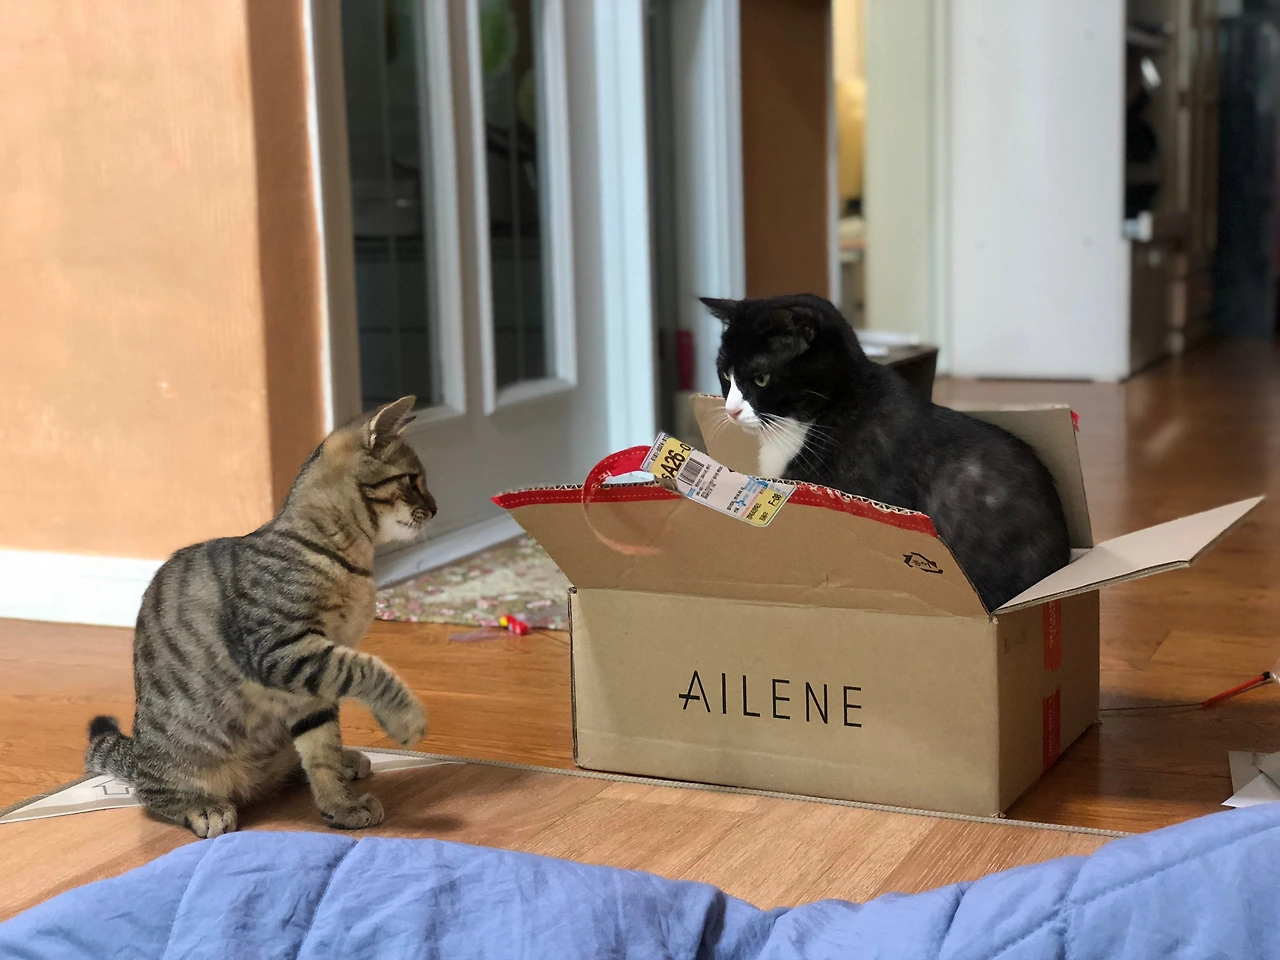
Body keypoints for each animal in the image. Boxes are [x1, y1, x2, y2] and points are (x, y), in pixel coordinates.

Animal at [85, 396, 436, 838]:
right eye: (413, 480)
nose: (436, 509)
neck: (346, 557)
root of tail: (137, 751)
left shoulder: (309, 685)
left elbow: (321, 750)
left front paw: (340, 804)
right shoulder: (284, 651)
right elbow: (370, 669)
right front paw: (405, 719)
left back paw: (345, 761)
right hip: (182, 758)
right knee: (154, 794)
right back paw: (203, 807)